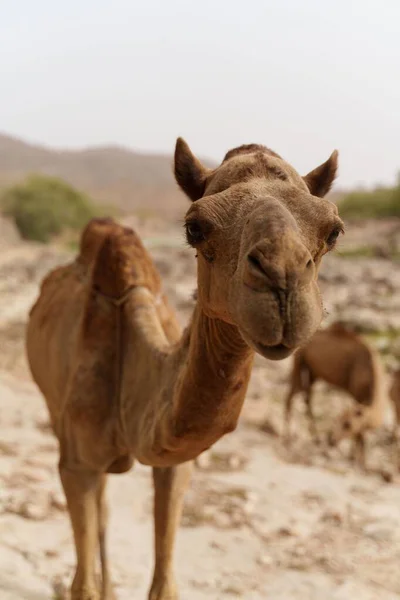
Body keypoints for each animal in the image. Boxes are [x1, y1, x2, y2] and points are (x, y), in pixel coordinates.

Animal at [25, 138, 344, 596]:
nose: (282, 283)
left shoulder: (176, 465)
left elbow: (165, 584)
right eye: (195, 227)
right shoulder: (76, 464)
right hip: (55, 412)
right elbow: (81, 583)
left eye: (333, 230)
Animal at [282, 324, 386, 468]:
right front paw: (355, 459)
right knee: (291, 396)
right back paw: (289, 438)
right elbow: (359, 437)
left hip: (313, 372)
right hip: (299, 363)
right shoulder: (356, 394)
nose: (331, 439)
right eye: (339, 421)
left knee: (306, 398)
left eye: (347, 424)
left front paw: (360, 462)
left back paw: (316, 438)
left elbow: (360, 434)